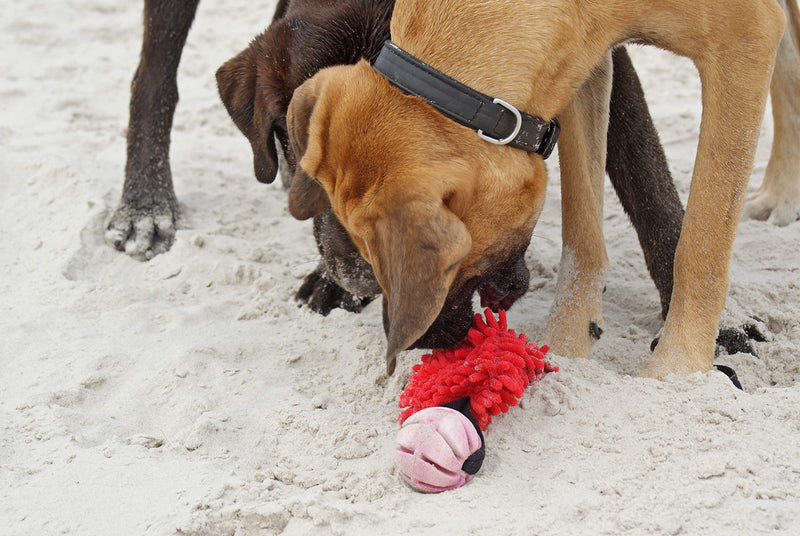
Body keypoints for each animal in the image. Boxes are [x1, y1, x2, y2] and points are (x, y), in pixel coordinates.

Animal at [284, 0, 784, 376]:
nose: (425, 346)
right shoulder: (583, 59)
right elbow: (582, 230)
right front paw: (567, 343)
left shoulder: (746, 41)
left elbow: (702, 244)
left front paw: (677, 368)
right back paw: (775, 199)